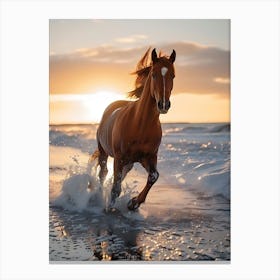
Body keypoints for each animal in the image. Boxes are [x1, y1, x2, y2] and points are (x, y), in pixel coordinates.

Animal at [91, 48, 176, 210]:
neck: (140, 125)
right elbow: (115, 187)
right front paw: (110, 207)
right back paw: (97, 195)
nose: (163, 104)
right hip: (104, 151)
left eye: (173, 75)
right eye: (153, 74)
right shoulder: (119, 158)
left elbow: (153, 177)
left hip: (129, 163)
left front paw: (133, 203)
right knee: (103, 173)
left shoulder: (149, 157)